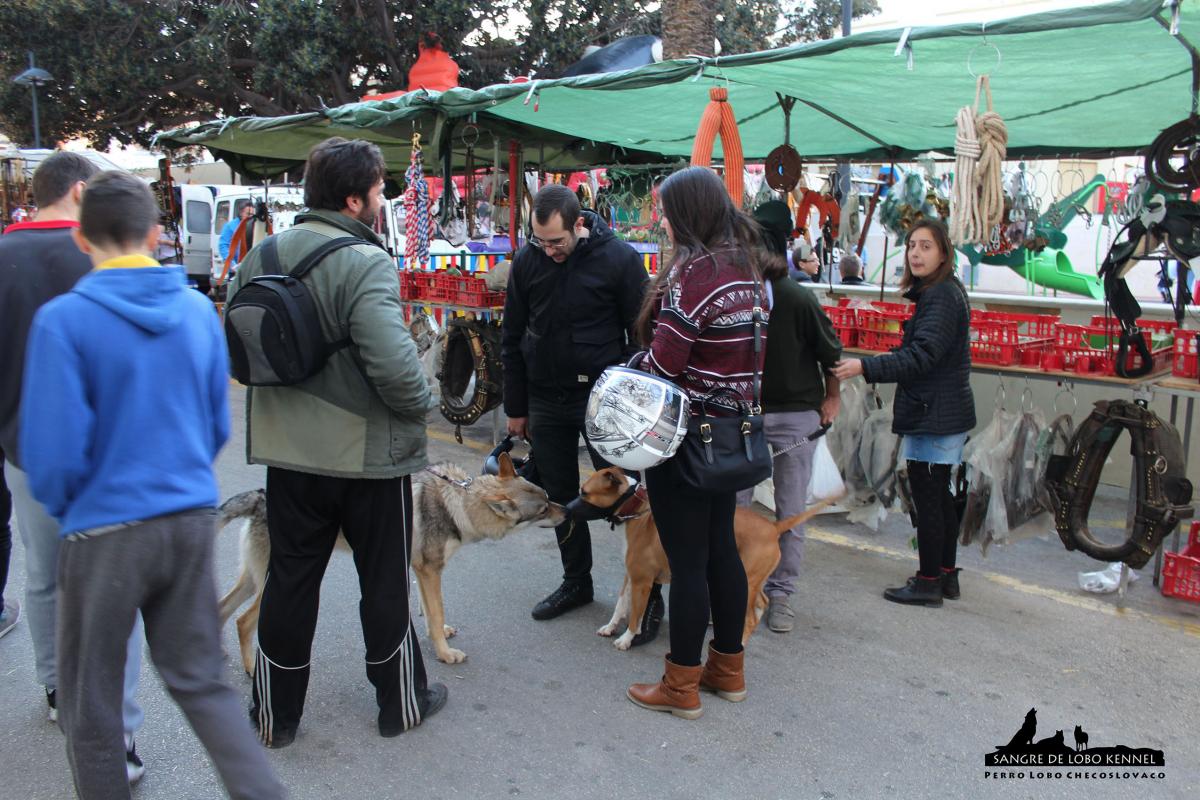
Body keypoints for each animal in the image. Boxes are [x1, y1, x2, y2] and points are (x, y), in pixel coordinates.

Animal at [578, 470, 825, 652]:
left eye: (584, 493)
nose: (569, 508)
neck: (637, 510)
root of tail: (773, 527)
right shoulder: (630, 576)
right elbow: (621, 605)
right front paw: (610, 627)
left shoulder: (642, 581)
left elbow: (635, 614)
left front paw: (627, 638)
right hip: (755, 580)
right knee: (761, 603)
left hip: (745, 582)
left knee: (750, 618)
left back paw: (738, 645)